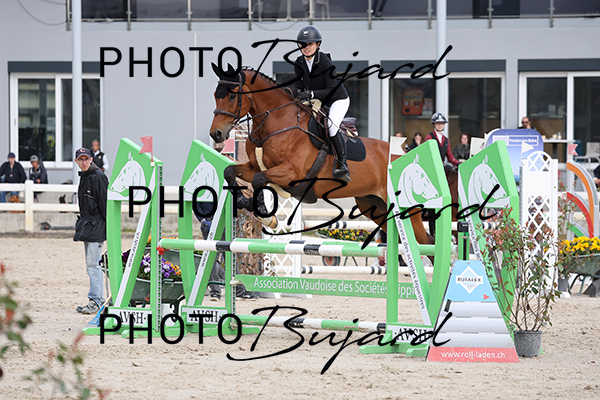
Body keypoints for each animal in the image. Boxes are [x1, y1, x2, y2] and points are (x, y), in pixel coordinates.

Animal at [208, 63, 445, 247]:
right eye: (215, 96)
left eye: (232, 96)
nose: (216, 133)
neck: (277, 122)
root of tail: (403, 153)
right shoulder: (254, 167)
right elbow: (230, 171)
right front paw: (244, 201)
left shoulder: (291, 174)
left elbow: (259, 180)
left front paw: (267, 217)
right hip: (374, 207)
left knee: (426, 242)